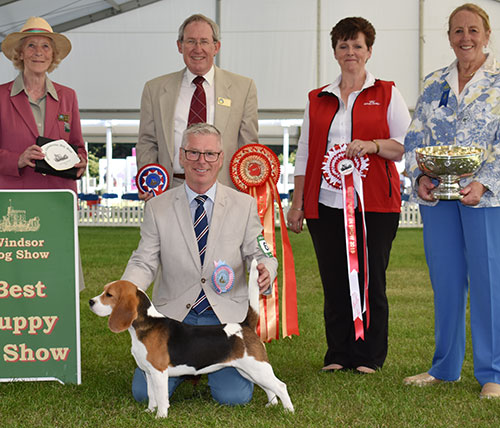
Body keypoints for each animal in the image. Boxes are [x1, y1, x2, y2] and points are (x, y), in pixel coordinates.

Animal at [89, 258, 292, 418]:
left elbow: (161, 397)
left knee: (281, 386)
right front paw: (149, 411)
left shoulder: (159, 372)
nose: (90, 302)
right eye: (104, 291)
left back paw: (288, 411)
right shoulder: (149, 373)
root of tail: (245, 325)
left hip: (257, 368)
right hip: (249, 370)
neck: (145, 325)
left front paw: (160, 416)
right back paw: (272, 405)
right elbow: (152, 395)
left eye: (109, 295)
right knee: (270, 388)